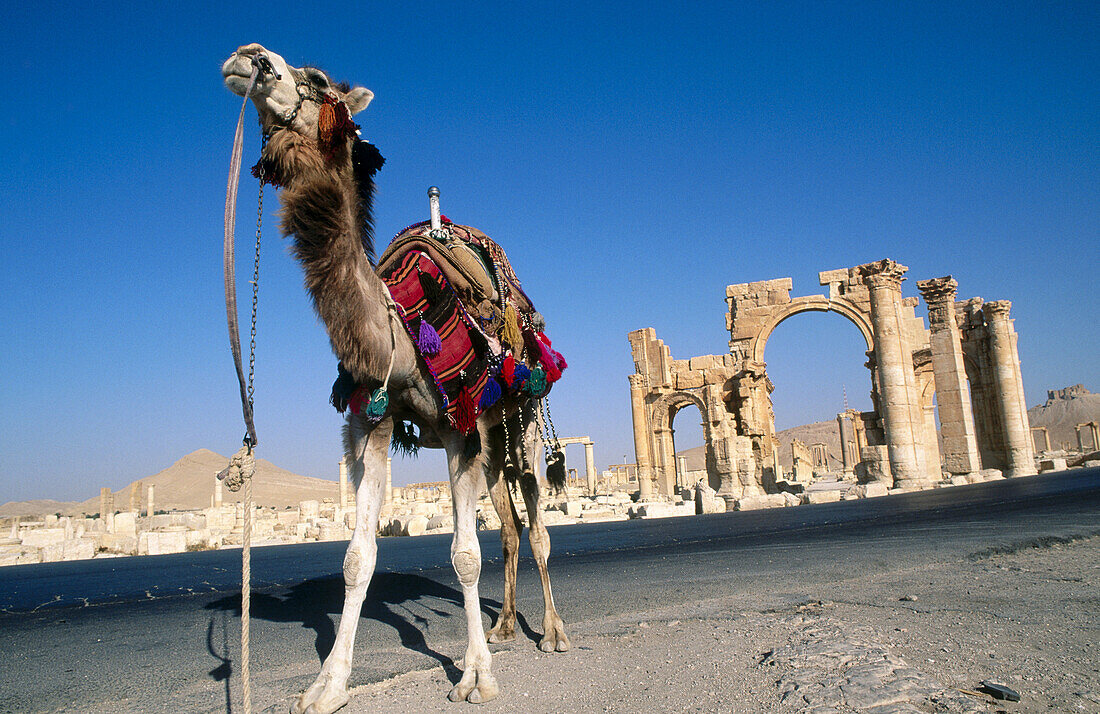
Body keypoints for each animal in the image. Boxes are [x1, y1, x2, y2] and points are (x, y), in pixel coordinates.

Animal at [218, 45, 572, 712]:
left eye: (316, 78)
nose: (249, 59)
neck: (397, 335)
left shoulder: (458, 423)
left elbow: (463, 555)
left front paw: (476, 677)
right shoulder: (371, 423)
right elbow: (358, 557)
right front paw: (327, 685)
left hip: (520, 416)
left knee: (535, 521)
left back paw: (554, 632)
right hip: (491, 440)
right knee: (510, 526)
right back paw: (503, 627)